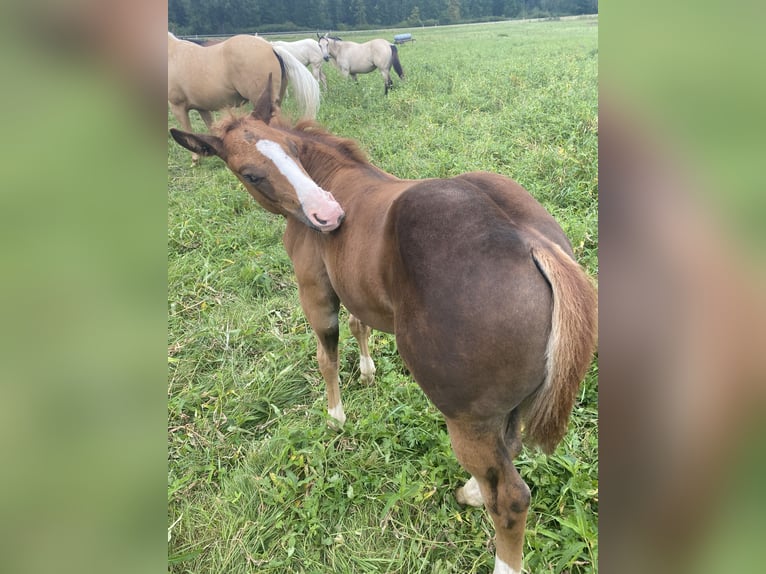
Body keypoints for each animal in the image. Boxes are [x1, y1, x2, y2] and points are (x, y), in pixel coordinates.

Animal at [168, 32, 320, 163]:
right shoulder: (203, 108)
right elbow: (211, 127)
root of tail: (271, 47)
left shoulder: (178, 107)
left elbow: (187, 128)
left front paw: (195, 159)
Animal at [170, 82, 600, 574]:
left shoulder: (315, 291)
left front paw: (335, 416)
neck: (335, 175)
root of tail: (531, 242)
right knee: (507, 450)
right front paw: (368, 372)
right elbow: (360, 326)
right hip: (502, 408)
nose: (327, 215)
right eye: (251, 173)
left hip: (466, 419)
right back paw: (472, 489)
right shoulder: (355, 291)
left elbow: (326, 354)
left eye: (293, 151)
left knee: (509, 498)